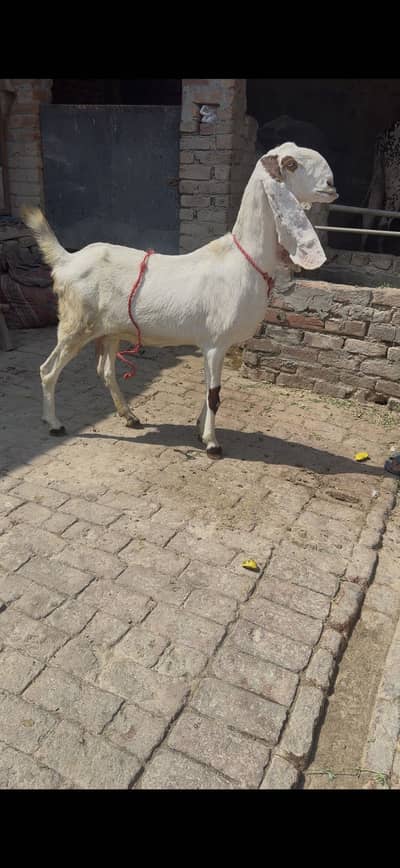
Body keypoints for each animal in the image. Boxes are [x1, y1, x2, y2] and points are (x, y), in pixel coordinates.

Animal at [22, 142, 337, 459]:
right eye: (291, 164)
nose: (331, 185)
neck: (243, 260)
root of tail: (67, 260)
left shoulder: (213, 345)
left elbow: (210, 390)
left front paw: (200, 430)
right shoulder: (215, 343)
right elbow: (214, 394)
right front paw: (212, 443)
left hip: (109, 330)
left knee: (106, 371)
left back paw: (129, 415)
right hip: (75, 325)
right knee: (48, 371)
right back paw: (54, 423)